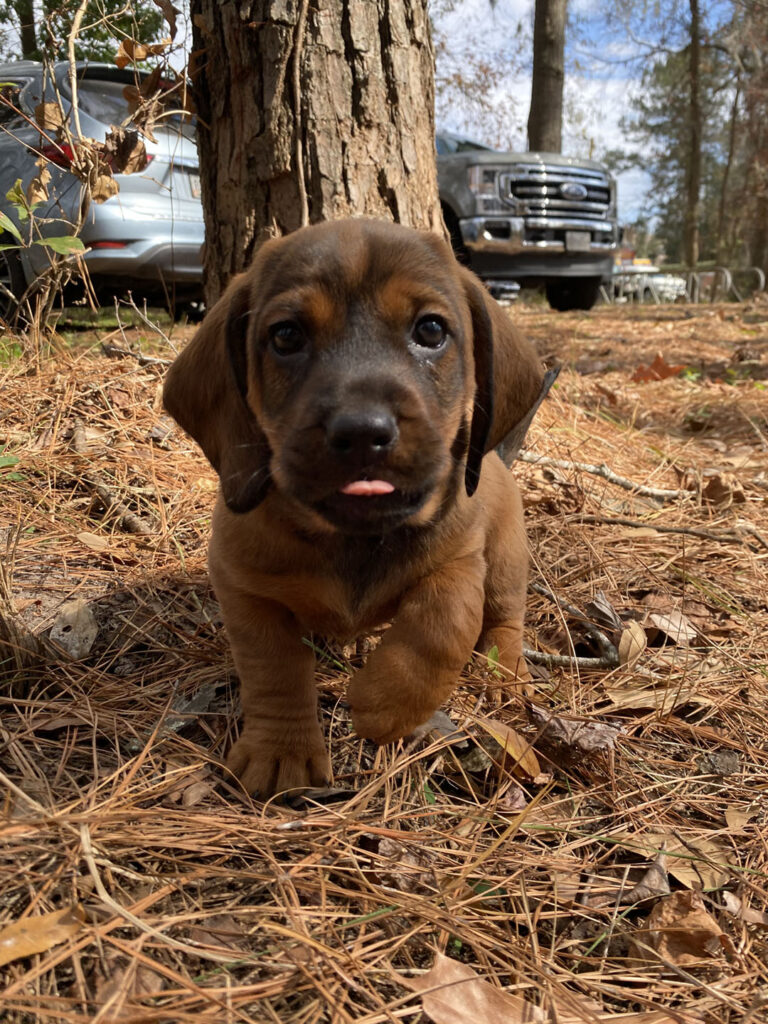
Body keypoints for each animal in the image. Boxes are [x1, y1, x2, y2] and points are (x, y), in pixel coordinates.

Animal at [166, 218, 552, 798]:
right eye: (286, 336)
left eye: (431, 330)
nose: (364, 432)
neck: (352, 538)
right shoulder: (244, 588)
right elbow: (274, 670)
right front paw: (281, 751)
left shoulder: (460, 564)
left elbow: (443, 626)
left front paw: (384, 705)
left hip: (506, 562)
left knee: (504, 622)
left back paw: (504, 675)